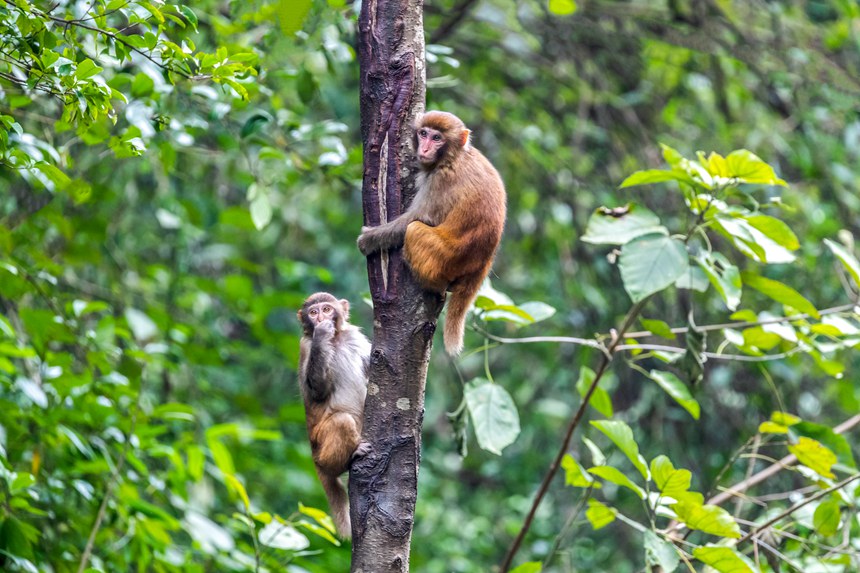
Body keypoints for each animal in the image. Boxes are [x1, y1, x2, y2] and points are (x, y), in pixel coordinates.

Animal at [298, 292, 372, 540]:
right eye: (313, 312)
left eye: (327, 309)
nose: (321, 318)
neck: (337, 340)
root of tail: (313, 453)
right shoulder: (305, 346)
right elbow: (317, 391)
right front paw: (322, 334)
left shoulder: (355, 337)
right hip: (321, 442)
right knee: (342, 421)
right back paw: (347, 460)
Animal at [354, 110, 504, 354]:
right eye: (423, 134)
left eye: (437, 138)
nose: (424, 149)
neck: (454, 157)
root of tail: (484, 262)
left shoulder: (441, 180)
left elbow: (416, 219)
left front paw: (369, 239)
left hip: (444, 259)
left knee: (415, 230)